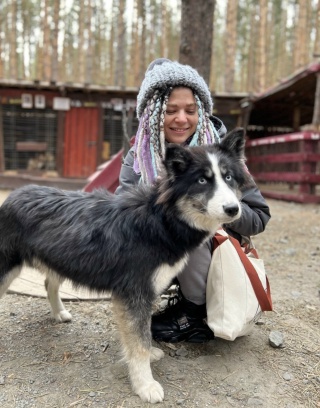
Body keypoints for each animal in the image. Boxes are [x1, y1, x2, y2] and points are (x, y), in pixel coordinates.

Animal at [0, 129, 251, 404]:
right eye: (202, 181)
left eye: (228, 177)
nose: (233, 209)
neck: (160, 219)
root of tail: (15, 193)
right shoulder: (134, 294)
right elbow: (138, 340)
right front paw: (145, 384)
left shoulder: (145, 292)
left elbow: (143, 334)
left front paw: (149, 354)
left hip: (60, 259)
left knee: (49, 283)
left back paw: (59, 313)